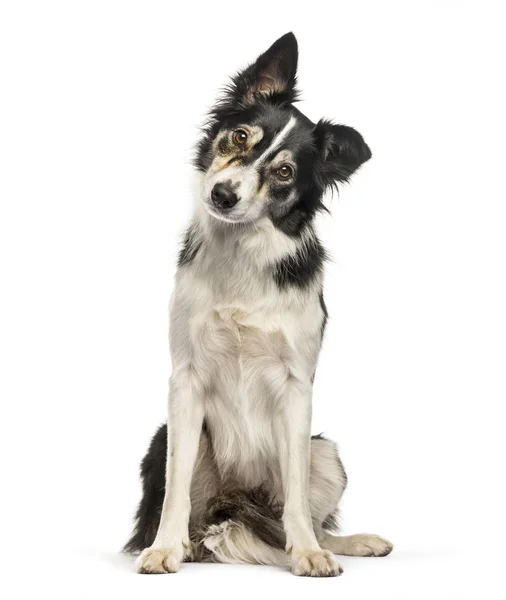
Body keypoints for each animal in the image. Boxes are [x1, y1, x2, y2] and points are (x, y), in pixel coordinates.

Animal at [125, 30, 392, 576]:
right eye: (240, 136)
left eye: (285, 171)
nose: (223, 195)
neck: (242, 253)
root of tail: (238, 502)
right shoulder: (184, 381)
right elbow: (175, 492)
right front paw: (163, 548)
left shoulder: (296, 386)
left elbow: (297, 501)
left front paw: (307, 553)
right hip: (163, 438)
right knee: (194, 510)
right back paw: (186, 543)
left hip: (326, 453)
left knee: (304, 516)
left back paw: (350, 542)